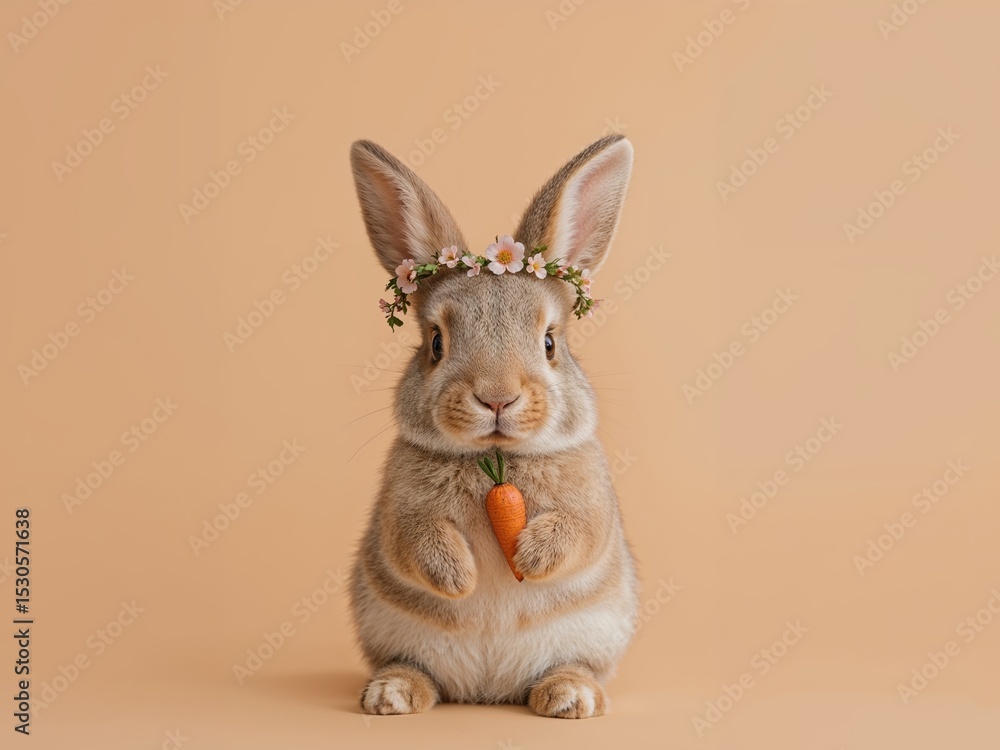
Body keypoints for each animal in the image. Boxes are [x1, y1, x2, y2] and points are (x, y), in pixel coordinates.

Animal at [348, 134, 639, 719]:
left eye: (549, 343)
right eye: (436, 344)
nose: (497, 396)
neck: (496, 463)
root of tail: (487, 689)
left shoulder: (592, 505)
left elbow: (580, 531)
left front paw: (528, 557)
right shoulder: (398, 512)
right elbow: (413, 540)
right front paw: (461, 579)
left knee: (573, 669)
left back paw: (569, 697)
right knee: (416, 671)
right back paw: (391, 695)